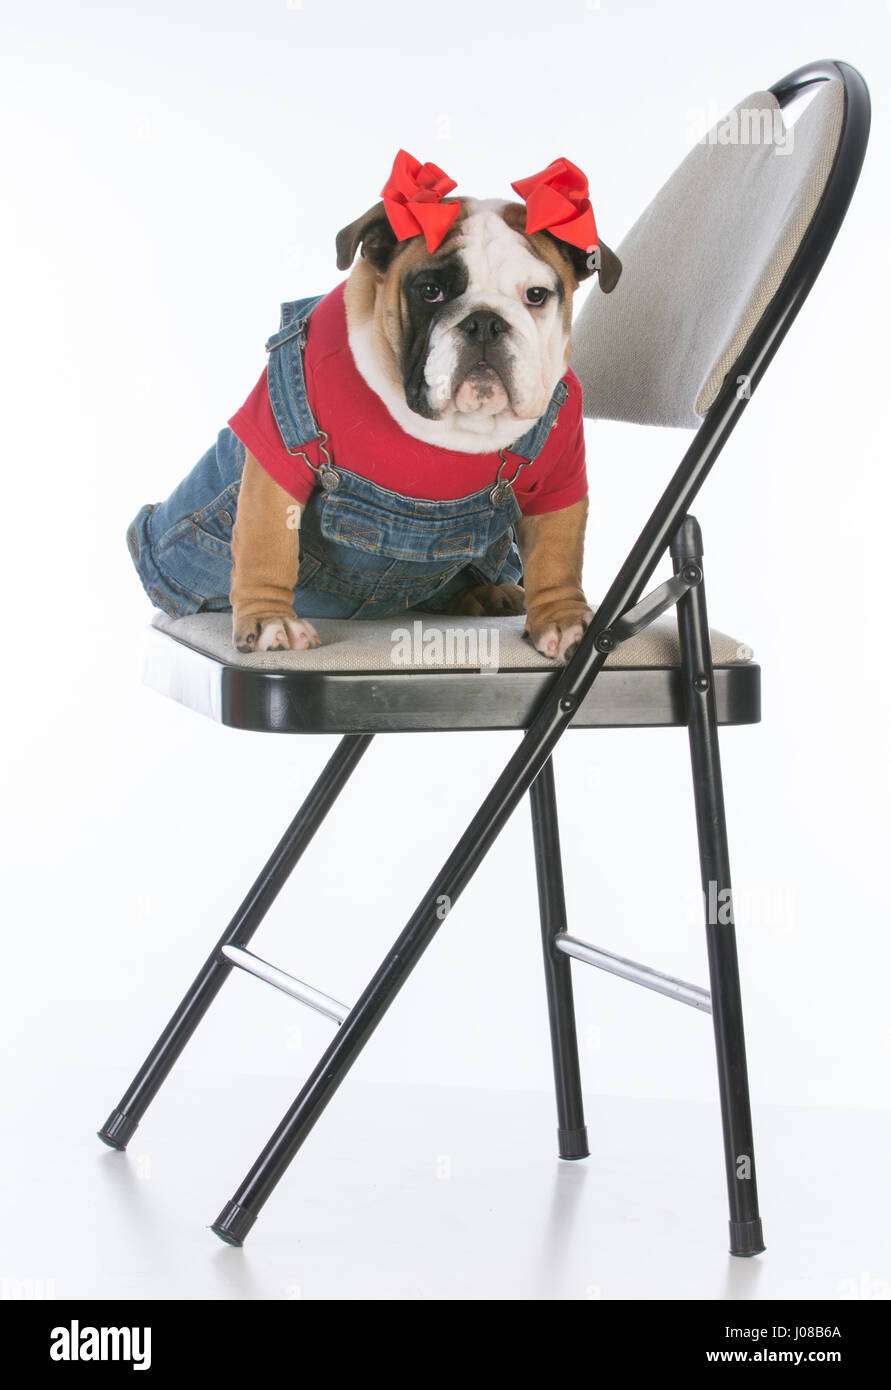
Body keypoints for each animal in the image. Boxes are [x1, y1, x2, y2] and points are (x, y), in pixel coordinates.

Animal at [229, 162, 617, 661]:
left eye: (536, 295)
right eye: (430, 291)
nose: (485, 321)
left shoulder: (560, 477)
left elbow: (558, 554)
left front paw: (564, 618)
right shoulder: (281, 446)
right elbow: (267, 538)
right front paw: (269, 617)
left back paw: (489, 594)